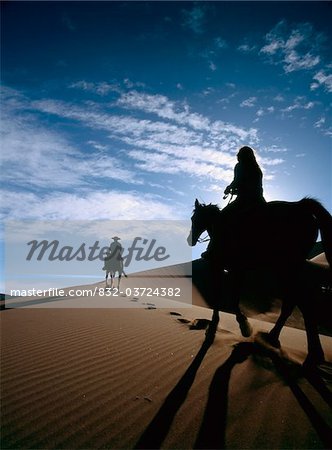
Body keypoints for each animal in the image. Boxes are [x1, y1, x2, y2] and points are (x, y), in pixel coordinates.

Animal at [188, 198, 330, 366]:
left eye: (194, 218)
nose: (190, 240)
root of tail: (301, 205)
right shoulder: (234, 270)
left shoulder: (226, 267)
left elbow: (227, 298)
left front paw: (242, 326)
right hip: (288, 269)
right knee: (295, 302)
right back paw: (278, 340)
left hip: (287, 267)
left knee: (301, 302)